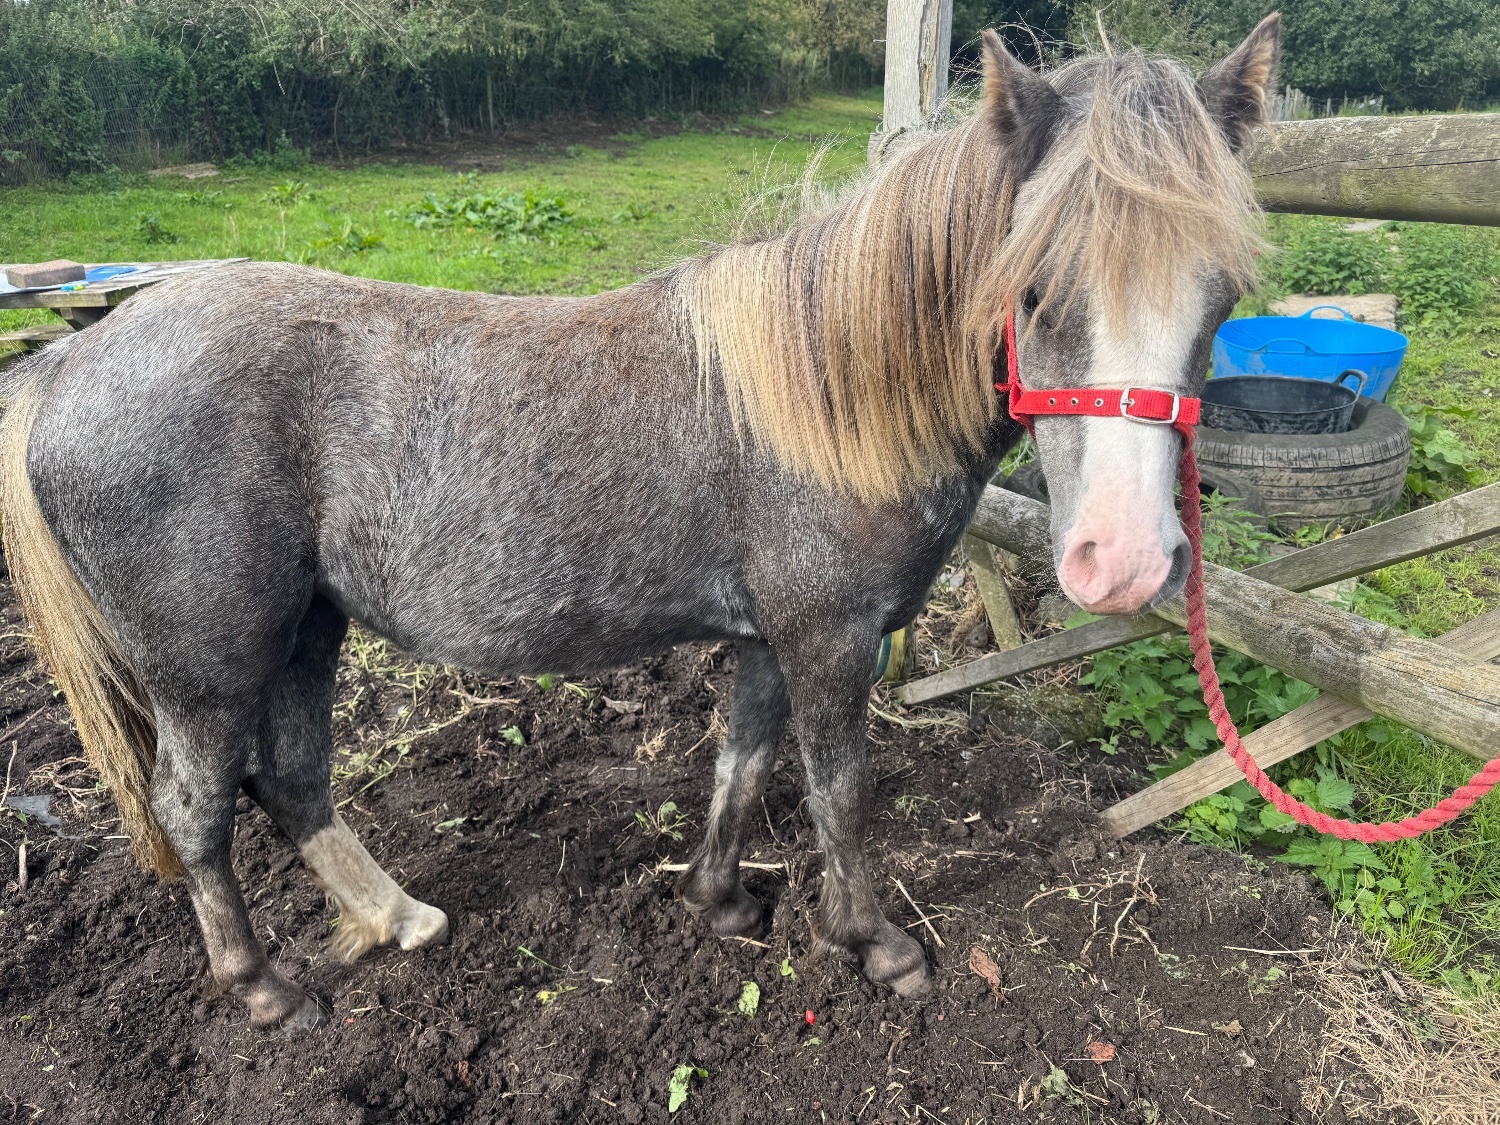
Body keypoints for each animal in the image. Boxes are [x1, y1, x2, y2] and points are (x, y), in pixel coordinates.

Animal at [0, 15, 1280, 1030]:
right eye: (1033, 287)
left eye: (1221, 297)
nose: (1124, 562)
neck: (825, 398)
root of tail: (66, 367)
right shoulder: (830, 640)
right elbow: (838, 788)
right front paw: (876, 946)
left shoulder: (769, 637)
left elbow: (741, 759)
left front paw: (721, 901)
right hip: (208, 667)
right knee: (196, 809)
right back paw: (264, 988)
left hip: (309, 628)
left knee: (294, 782)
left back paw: (399, 918)